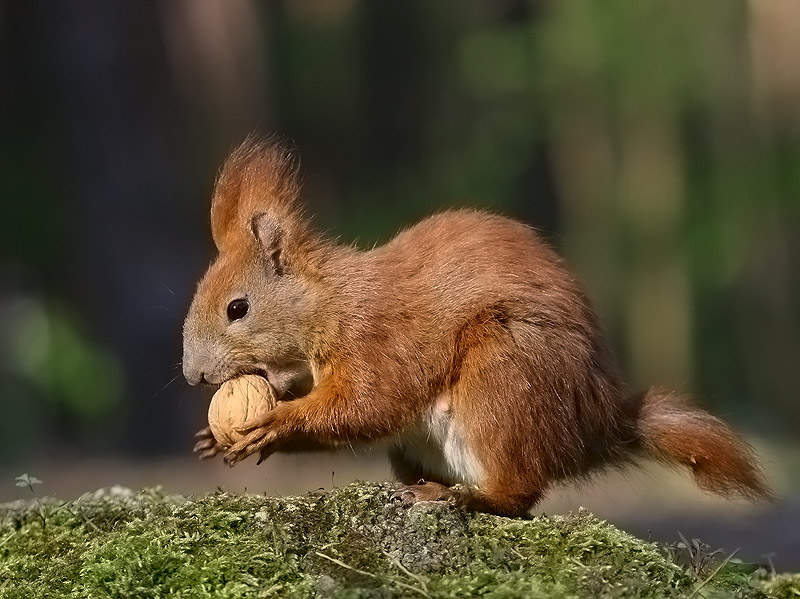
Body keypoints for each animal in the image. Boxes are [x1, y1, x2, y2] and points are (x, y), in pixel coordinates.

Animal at [184, 138, 772, 516]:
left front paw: (277, 422)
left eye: (237, 308)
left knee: (520, 495)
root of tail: (593, 428)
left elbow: (368, 404)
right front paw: (215, 439)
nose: (193, 376)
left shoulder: (376, 340)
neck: (327, 302)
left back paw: (457, 496)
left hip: (504, 379)